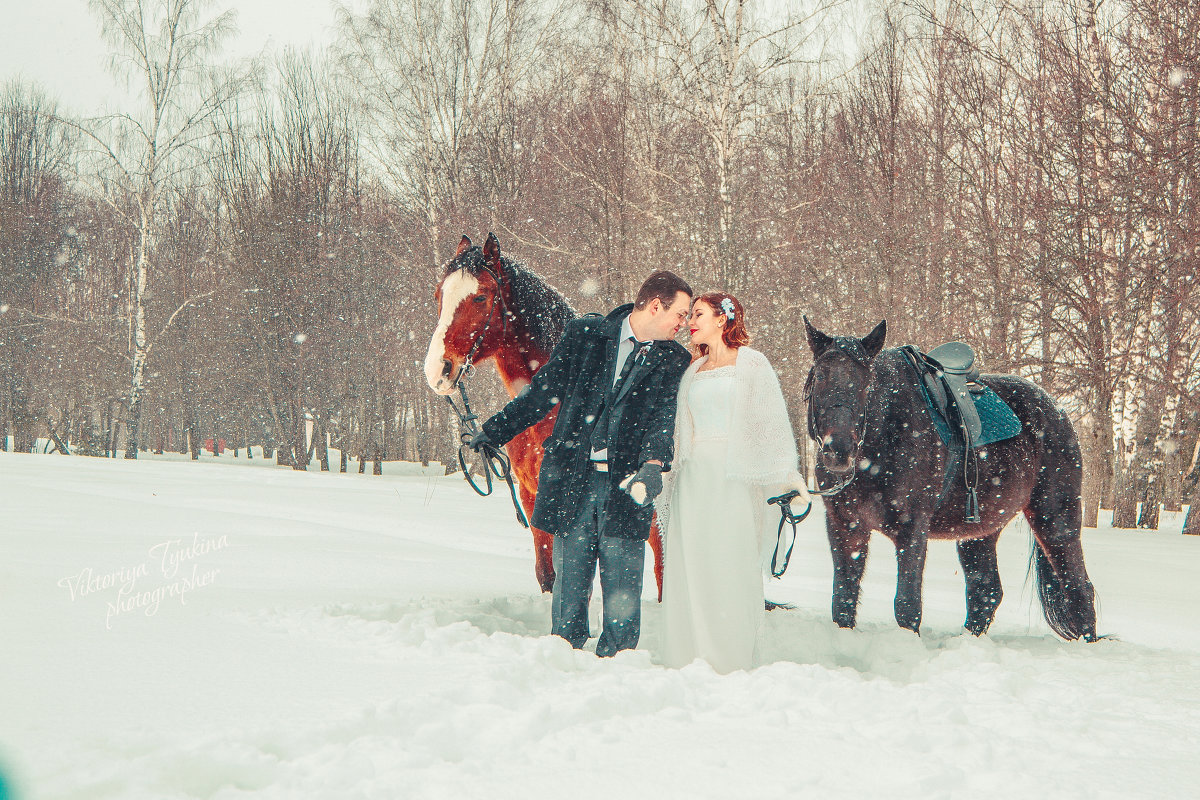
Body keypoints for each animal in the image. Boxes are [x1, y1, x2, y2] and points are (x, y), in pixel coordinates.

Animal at [806, 316, 1099, 642]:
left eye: (867, 383)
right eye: (819, 377)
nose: (838, 450)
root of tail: (1057, 412)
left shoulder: (912, 528)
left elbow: (907, 604)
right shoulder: (845, 526)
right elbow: (843, 599)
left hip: (1055, 519)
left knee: (1078, 588)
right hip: (981, 531)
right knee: (985, 591)